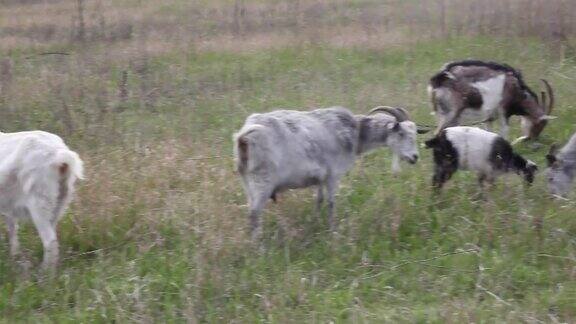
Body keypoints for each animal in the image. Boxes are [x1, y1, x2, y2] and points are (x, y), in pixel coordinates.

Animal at [0, 130, 83, 270]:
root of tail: (60, 157)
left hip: (39, 203)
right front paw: (13, 257)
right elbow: (12, 229)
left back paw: (44, 273)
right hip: (59, 202)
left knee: (50, 241)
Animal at [234, 105, 424, 239]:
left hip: (247, 181)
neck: (354, 133)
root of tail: (243, 136)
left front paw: (316, 223)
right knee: (254, 213)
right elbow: (332, 202)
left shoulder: (321, 178)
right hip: (262, 181)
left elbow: (319, 199)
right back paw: (259, 248)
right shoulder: (333, 174)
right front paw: (333, 231)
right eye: (401, 133)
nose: (414, 157)